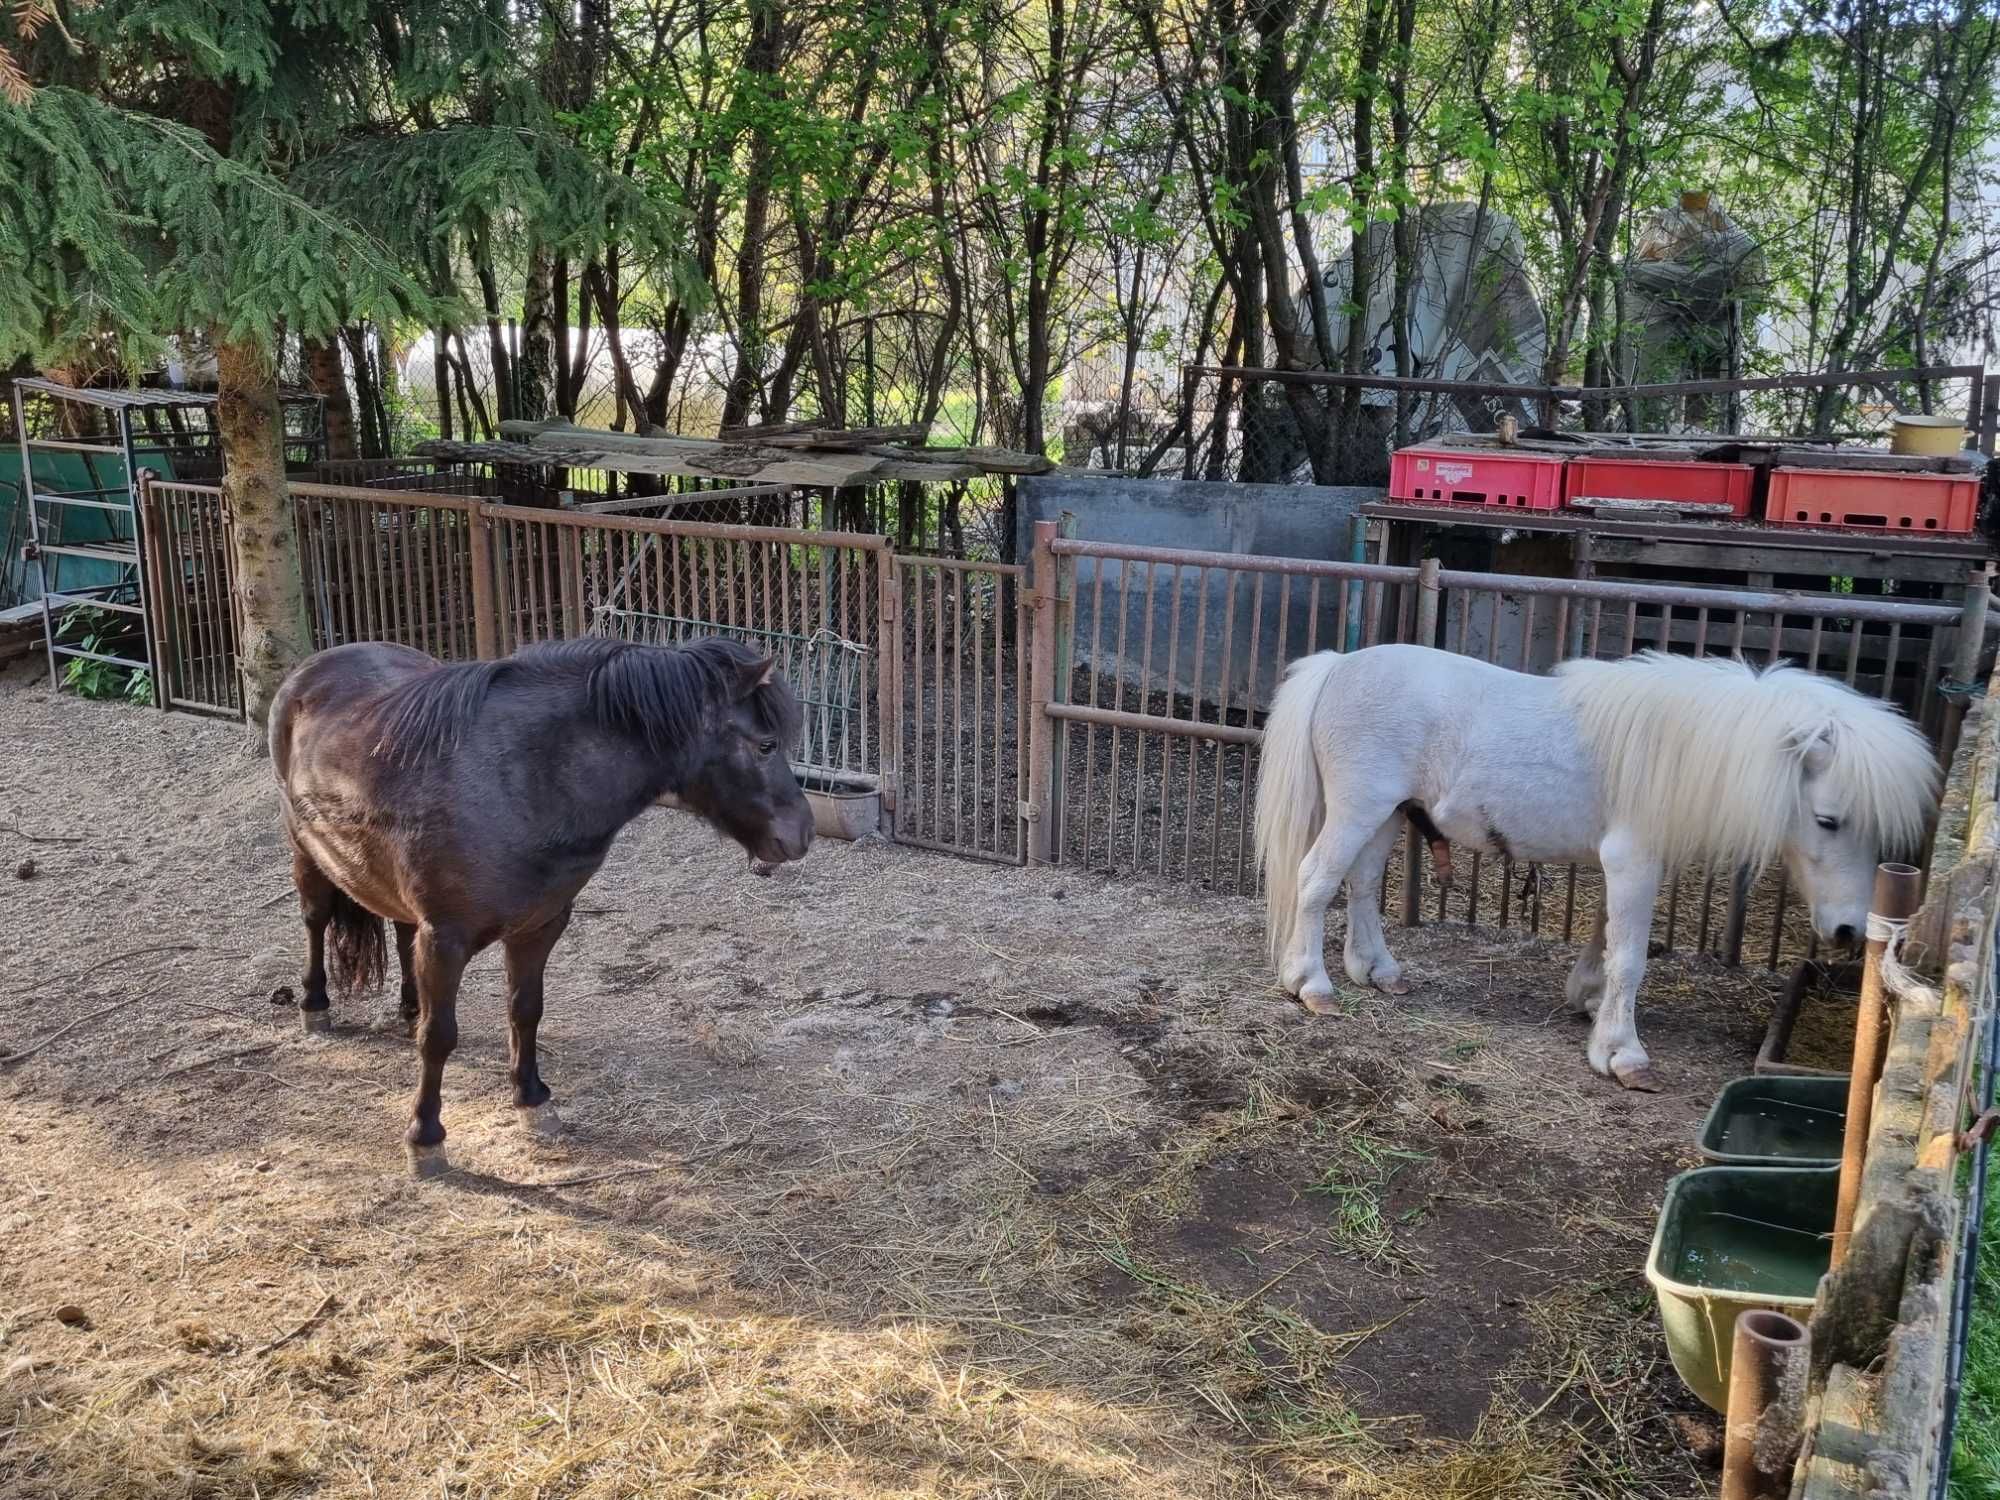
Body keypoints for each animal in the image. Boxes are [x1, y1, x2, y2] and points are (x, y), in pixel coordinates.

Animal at [268, 636, 812, 1176]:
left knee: (402, 933)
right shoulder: (446, 938)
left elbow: (525, 1011)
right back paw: (315, 1006)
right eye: (766, 744)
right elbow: (439, 1037)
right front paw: (425, 1138)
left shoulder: (539, 925)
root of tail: (314, 667)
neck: (523, 782)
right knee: (315, 920)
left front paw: (532, 1100)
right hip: (306, 851)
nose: (801, 834)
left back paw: (408, 1008)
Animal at [1248, 648, 1936, 1096]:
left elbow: (1605, 937)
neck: (1674, 749)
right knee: (1315, 881)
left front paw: (1588, 999)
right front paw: (1621, 1054)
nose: (1849, 931)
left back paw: (1377, 972)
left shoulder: (1624, 864)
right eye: (1827, 820)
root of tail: (1339, 665)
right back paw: (1310, 984)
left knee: (1362, 886)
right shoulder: (1634, 859)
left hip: (1388, 814)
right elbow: (1629, 957)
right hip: (1359, 809)